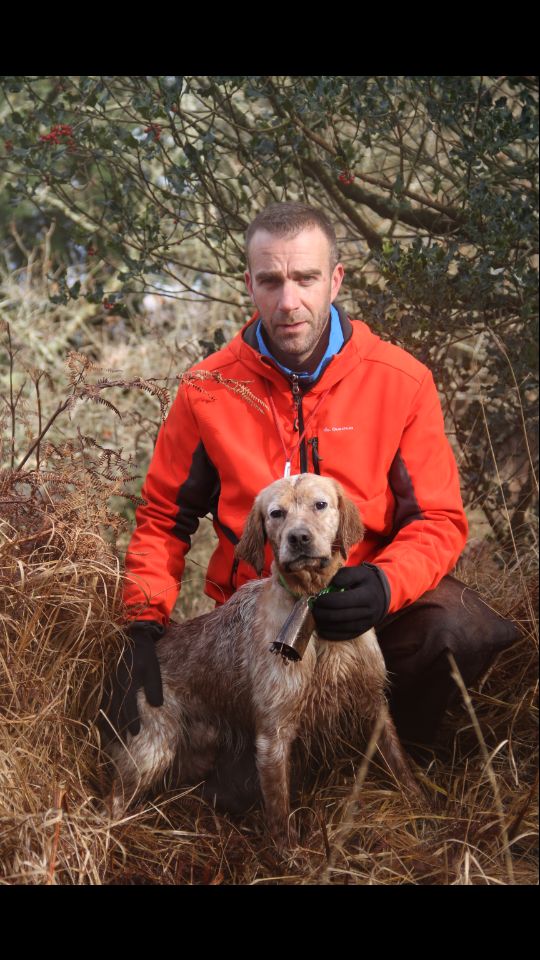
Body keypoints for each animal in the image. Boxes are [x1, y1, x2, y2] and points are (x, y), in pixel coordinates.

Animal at [105, 476, 424, 852]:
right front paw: (291, 856)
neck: (313, 608)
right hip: (151, 749)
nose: (298, 538)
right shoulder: (274, 734)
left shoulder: (374, 701)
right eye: (276, 513)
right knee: (111, 802)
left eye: (320, 504)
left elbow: (398, 760)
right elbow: (279, 811)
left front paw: (419, 804)